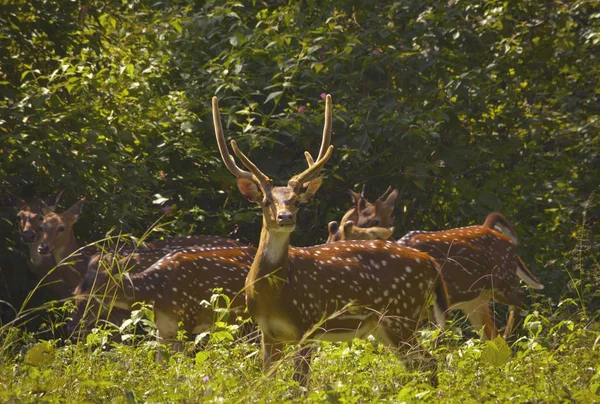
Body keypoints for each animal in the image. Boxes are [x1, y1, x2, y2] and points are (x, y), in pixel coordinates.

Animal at [212, 93, 450, 386]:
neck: (274, 294)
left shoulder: (309, 323)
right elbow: (267, 382)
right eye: (266, 201)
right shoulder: (268, 333)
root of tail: (432, 263)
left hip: (402, 313)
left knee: (429, 362)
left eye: (295, 201)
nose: (285, 217)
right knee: (418, 364)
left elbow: (299, 385)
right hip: (385, 325)